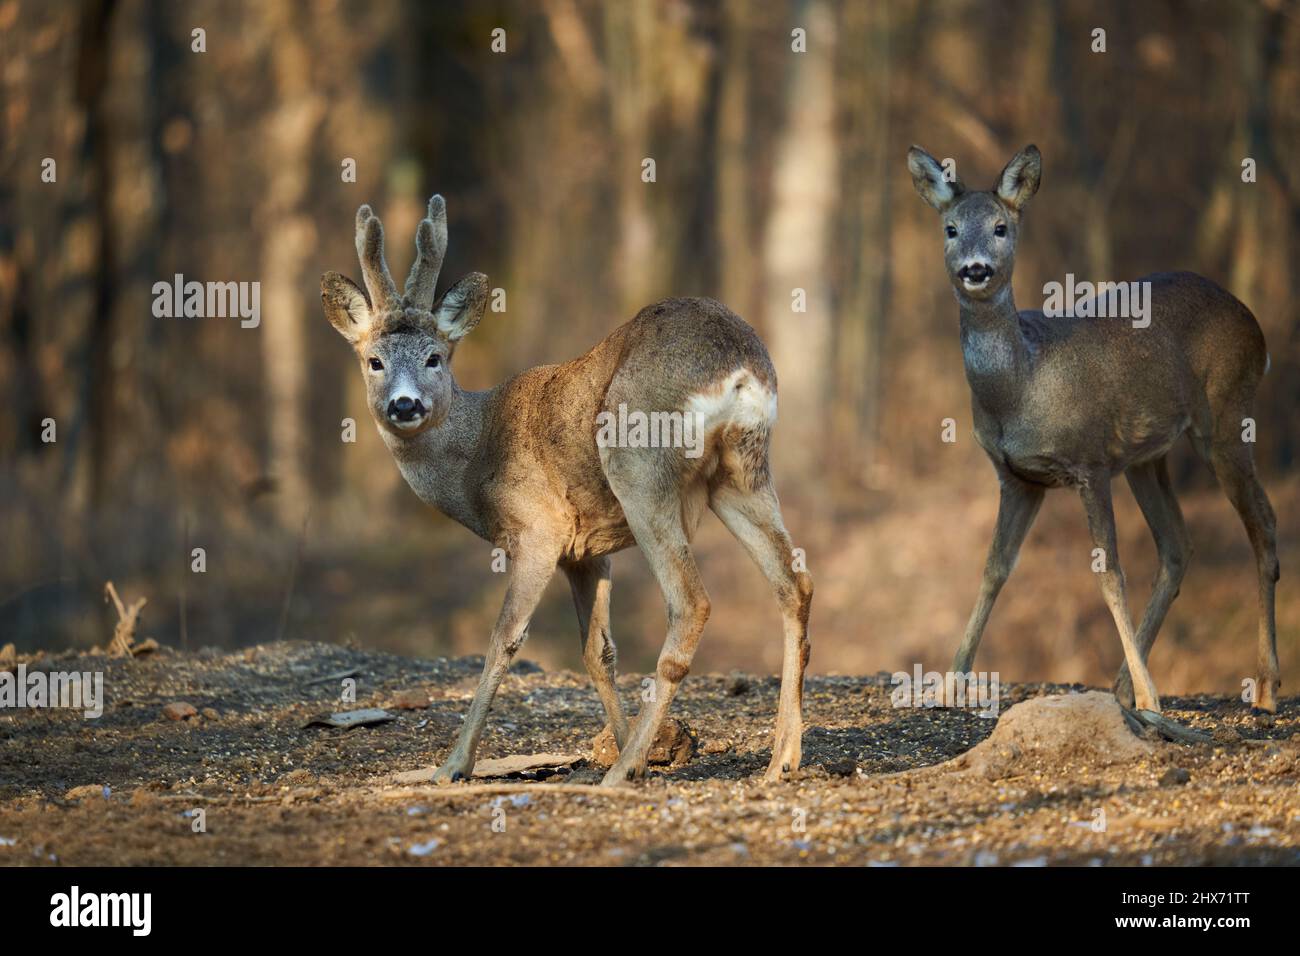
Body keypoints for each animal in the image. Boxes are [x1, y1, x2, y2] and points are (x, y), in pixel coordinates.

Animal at [321, 196, 813, 787]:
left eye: (434, 357)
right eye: (374, 361)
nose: (404, 405)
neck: (476, 455)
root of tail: (738, 367)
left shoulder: (539, 529)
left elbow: (504, 638)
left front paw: (453, 765)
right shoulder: (587, 550)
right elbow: (598, 651)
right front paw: (634, 749)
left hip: (638, 465)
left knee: (692, 602)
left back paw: (618, 774)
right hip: (741, 472)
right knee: (794, 583)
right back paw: (780, 759)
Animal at [907, 144, 1280, 719]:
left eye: (1000, 227)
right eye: (950, 228)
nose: (975, 269)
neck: (1023, 386)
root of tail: (1253, 324)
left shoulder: (1090, 461)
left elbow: (1109, 576)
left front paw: (1152, 694)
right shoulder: (1018, 477)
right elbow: (994, 568)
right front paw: (948, 685)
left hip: (1226, 413)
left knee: (1262, 522)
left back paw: (1261, 685)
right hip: (1148, 456)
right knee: (1178, 545)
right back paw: (1124, 683)